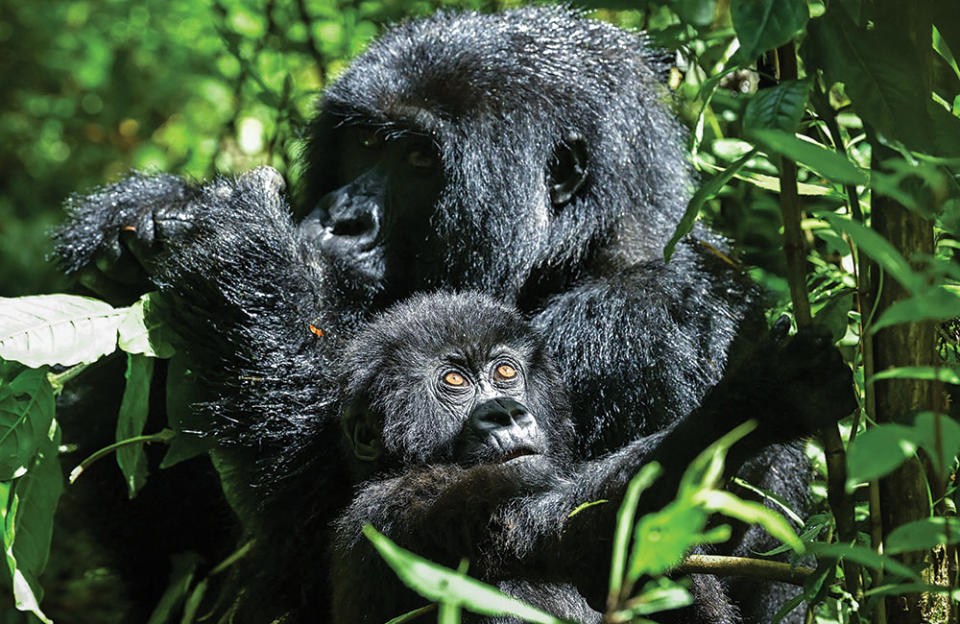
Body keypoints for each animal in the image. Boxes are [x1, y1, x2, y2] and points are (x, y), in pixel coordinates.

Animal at [332, 292, 856, 624]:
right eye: (454, 382)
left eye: (505, 373)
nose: (505, 412)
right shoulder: (408, 506)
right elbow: (559, 525)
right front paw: (760, 398)